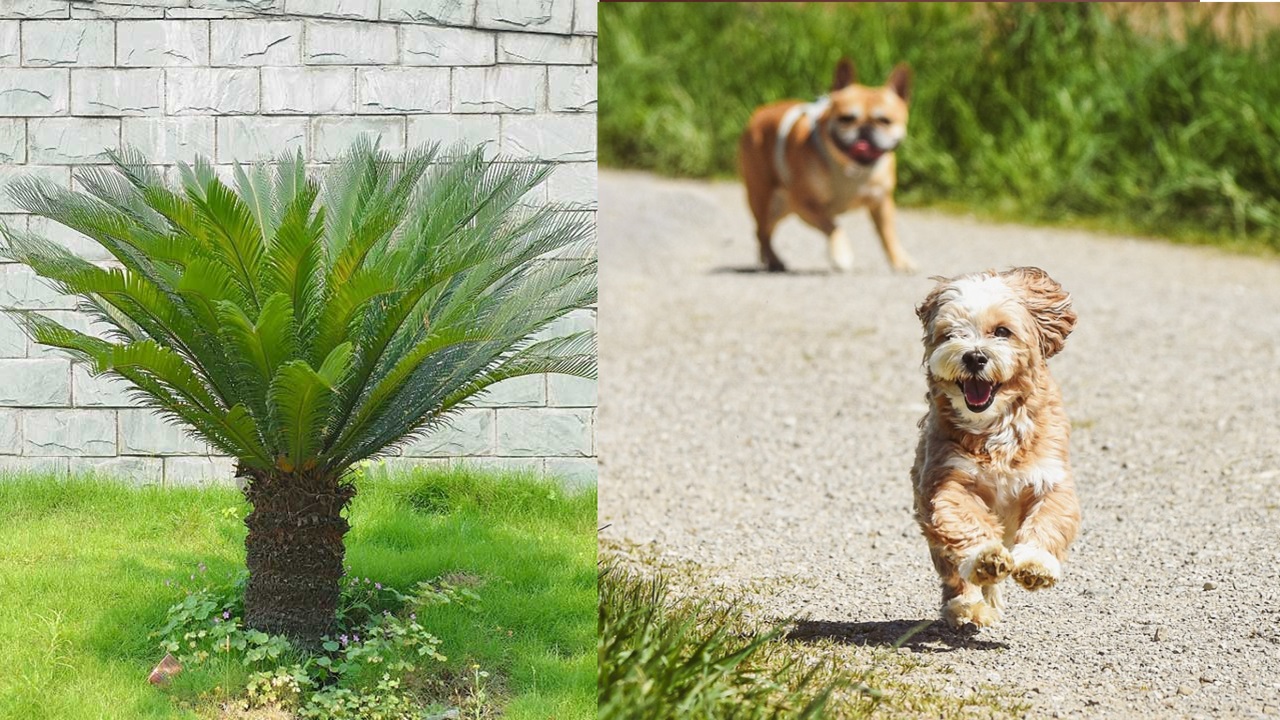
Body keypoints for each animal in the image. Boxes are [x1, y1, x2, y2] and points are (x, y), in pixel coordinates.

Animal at [737, 57, 916, 271]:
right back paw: (773, 260)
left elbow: (888, 234)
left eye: (885, 121)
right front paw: (842, 254)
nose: (864, 130)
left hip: (781, 207)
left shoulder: (881, 203)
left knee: (763, 231)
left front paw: (900, 261)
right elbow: (832, 225)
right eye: (846, 118)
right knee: (762, 231)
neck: (852, 169)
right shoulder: (805, 204)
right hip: (765, 200)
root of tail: (759, 113)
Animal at [911, 266, 1080, 625]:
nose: (974, 356)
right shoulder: (947, 482)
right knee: (953, 572)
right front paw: (985, 558)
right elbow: (965, 522)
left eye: (1002, 331)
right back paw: (967, 604)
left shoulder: (1051, 478)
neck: (995, 427)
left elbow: (1050, 520)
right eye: (950, 334)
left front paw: (1036, 564)